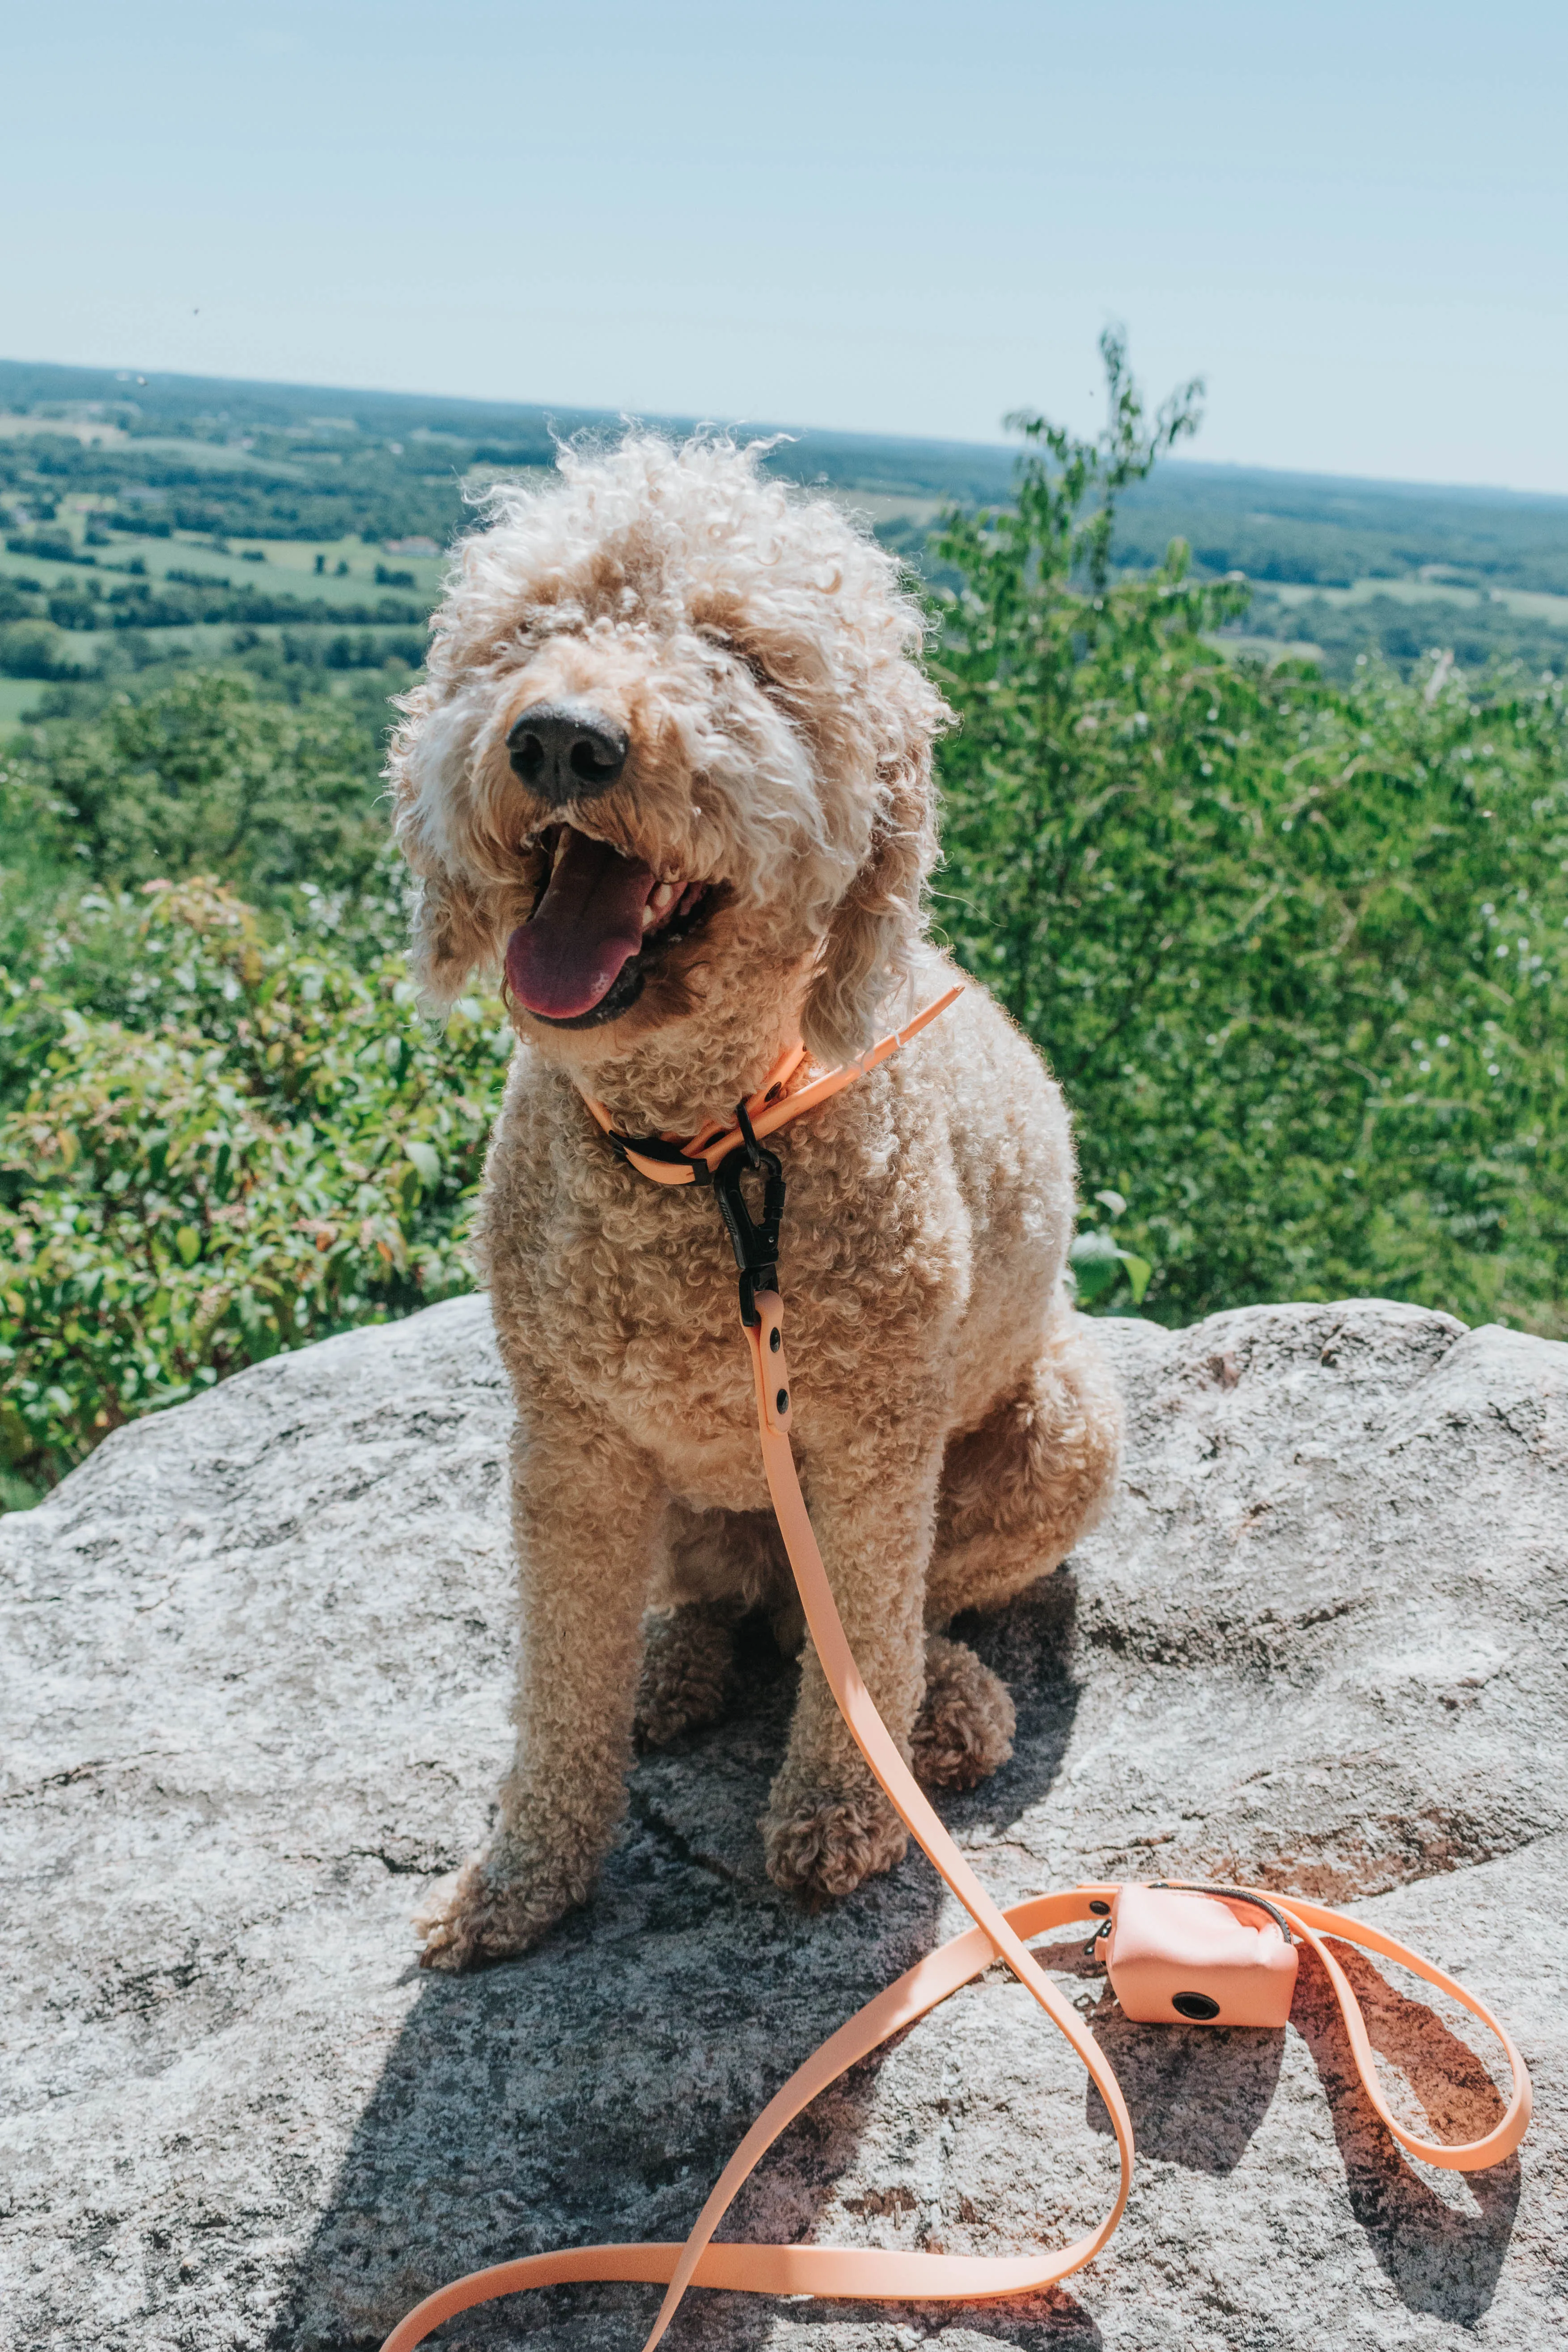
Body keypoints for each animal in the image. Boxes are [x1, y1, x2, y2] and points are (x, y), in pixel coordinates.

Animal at [395, 428, 1128, 1966]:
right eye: (528, 627)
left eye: (740, 655)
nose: (562, 738)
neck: (702, 1150)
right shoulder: (567, 1446)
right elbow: (558, 1675)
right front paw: (522, 1874)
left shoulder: (869, 1439)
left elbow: (864, 1620)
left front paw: (842, 1815)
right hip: (680, 1502)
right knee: (727, 1603)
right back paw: (671, 1670)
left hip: (1063, 1427)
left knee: (877, 1616)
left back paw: (940, 1709)